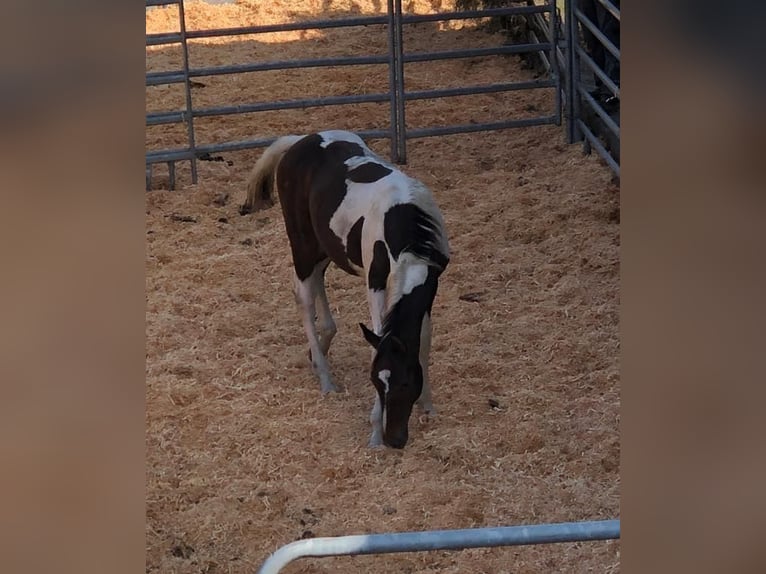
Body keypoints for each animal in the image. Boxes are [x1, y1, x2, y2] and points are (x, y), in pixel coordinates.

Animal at [242, 130, 450, 450]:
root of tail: (299, 141)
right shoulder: (375, 282)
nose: (394, 439)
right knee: (304, 297)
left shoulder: (431, 284)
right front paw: (375, 433)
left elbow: (424, 339)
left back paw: (321, 346)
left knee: (318, 279)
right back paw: (325, 378)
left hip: (324, 246)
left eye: (405, 382)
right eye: (375, 381)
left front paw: (428, 405)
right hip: (302, 244)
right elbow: (379, 334)